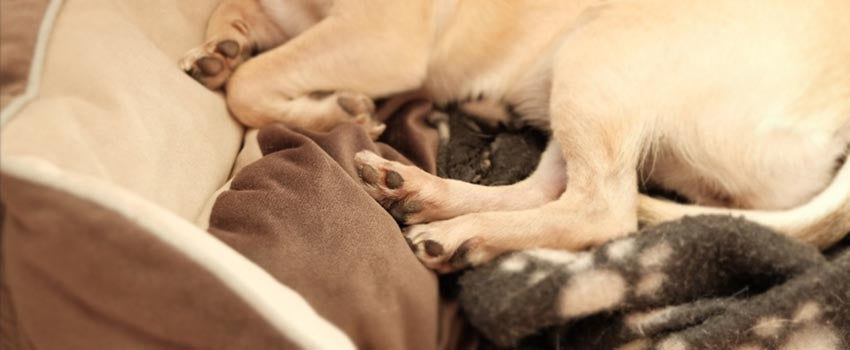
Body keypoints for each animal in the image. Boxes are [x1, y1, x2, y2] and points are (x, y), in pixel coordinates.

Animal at [181, 0, 848, 274]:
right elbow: (237, 27)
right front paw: (219, 51)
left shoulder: (381, 37)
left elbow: (250, 84)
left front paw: (333, 111)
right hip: (575, 75)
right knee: (552, 187)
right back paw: (422, 195)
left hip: (605, 54)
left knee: (603, 209)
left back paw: (459, 232)